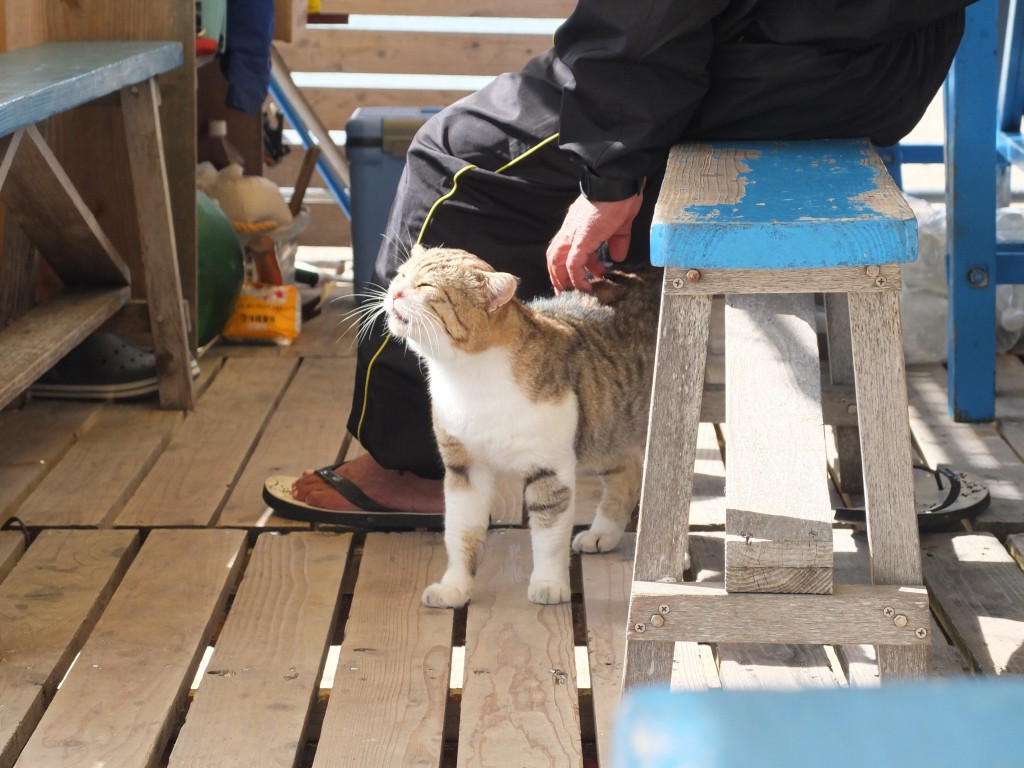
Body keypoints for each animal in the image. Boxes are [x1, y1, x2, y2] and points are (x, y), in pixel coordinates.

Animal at [380, 246, 659, 606]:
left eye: (426, 286)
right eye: (400, 275)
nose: (395, 292)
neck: (468, 377)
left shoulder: (549, 470)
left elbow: (549, 536)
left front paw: (548, 583)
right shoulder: (464, 468)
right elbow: (461, 530)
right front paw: (455, 587)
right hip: (610, 427)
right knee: (627, 474)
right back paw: (602, 534)